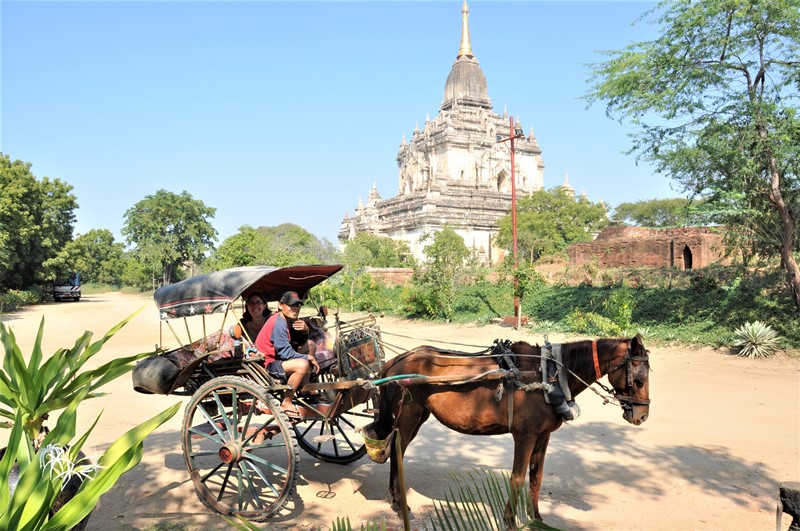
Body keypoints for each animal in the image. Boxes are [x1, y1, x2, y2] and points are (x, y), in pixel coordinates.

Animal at [372, 334, 652, 524]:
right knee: (396, 452)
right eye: (639, 379)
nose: (642, 416)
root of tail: (394, 362)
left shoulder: (543, 436)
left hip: (419, 416)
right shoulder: (524, 436)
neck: (548, 375)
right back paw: (399, 504)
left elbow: (536, 477)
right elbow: (517, 478)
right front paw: (510, 521)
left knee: (396, 451)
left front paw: (536, 517)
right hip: (408, 416)